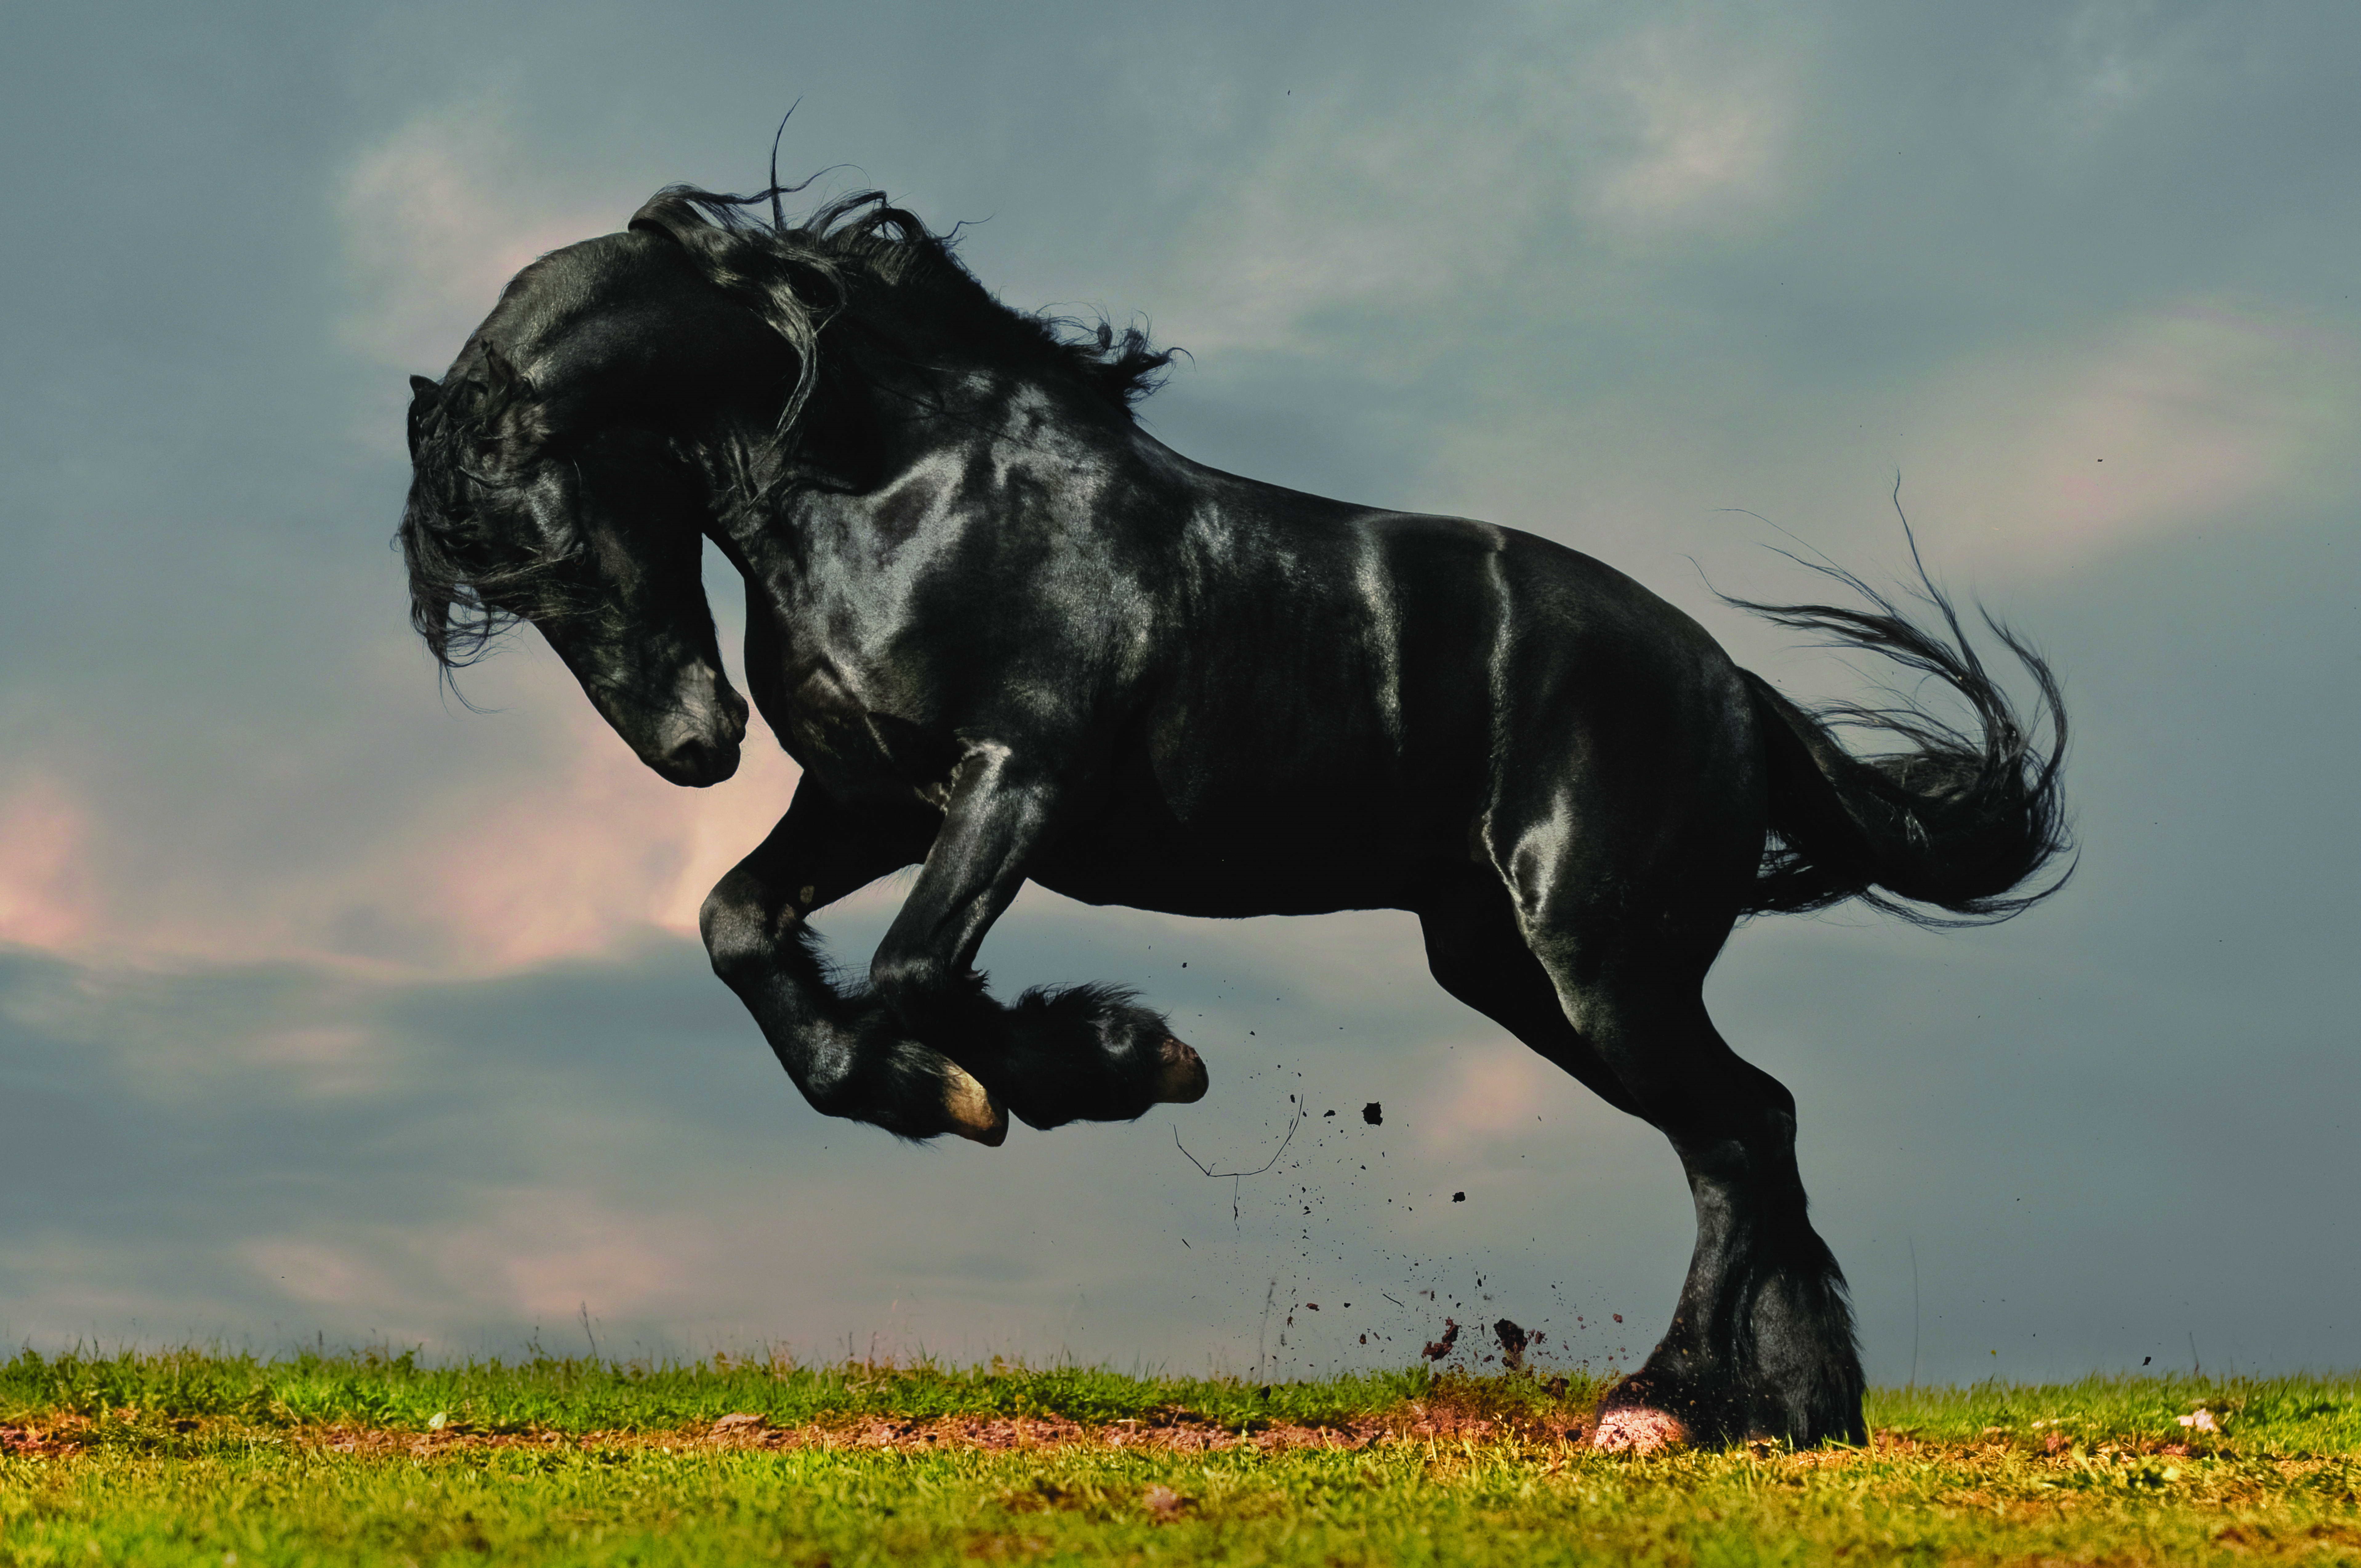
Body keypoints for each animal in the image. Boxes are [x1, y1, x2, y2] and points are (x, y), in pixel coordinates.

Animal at [398, 179, 2068, 1451]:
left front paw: (1103, 1062)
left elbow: (915, 968)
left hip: (1599, 959)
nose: (692, 745)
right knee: (1750, 1128)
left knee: (1738, 1130)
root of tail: (1732, 686)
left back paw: (1665, 1404)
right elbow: (741, 926)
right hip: (1512, 967)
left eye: (555, 542)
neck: (909, 484)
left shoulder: (1016, 781)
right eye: (495, 583)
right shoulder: (872, 793)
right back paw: (1788, 1410)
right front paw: (935, 1086)